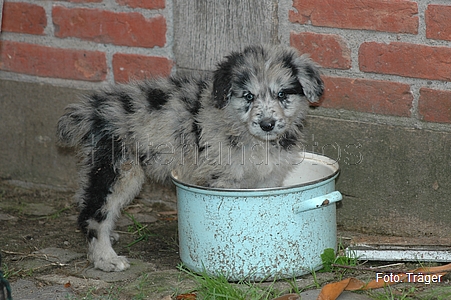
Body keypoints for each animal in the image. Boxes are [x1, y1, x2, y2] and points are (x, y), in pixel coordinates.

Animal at [57, 44, 324, 272]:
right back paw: (106, 258)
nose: (267, 124)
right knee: (94, 214)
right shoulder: (222, 178)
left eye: (282, 94)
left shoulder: (269, 179)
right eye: (248, 96)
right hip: (119, 171)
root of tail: (95, 110)